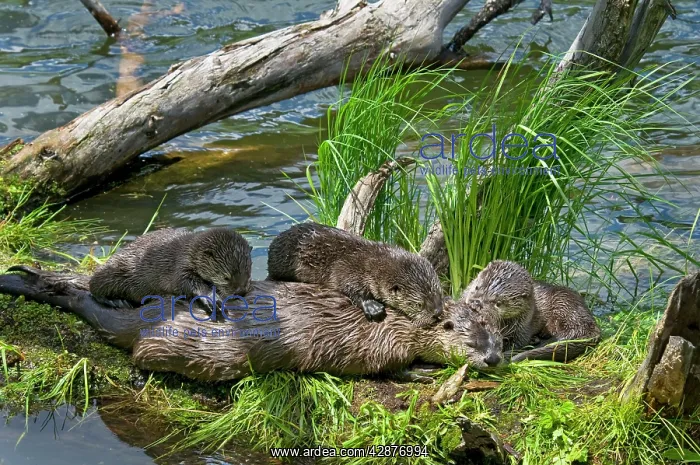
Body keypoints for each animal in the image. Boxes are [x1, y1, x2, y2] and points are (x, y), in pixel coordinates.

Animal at [89, 227, 252, 312]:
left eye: (249, 273)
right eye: (226, 277)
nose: (240, 292)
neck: (190, 253)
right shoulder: (180, 267)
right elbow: (186, 283)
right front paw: (210, 298)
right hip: (115, 271)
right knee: (93, 288)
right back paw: (117, 301)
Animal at [267, 222, 443, 328]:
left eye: (439, 295)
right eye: (418, 304)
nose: (437, 313)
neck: (374, 263)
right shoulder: (348, 268)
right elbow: (350, 286)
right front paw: (373, 307)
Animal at [459, 260, 600, 363]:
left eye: (497, 303)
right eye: (477, 287)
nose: (475, 303)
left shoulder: (522, 326)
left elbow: (518, 343)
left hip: (564, 303)